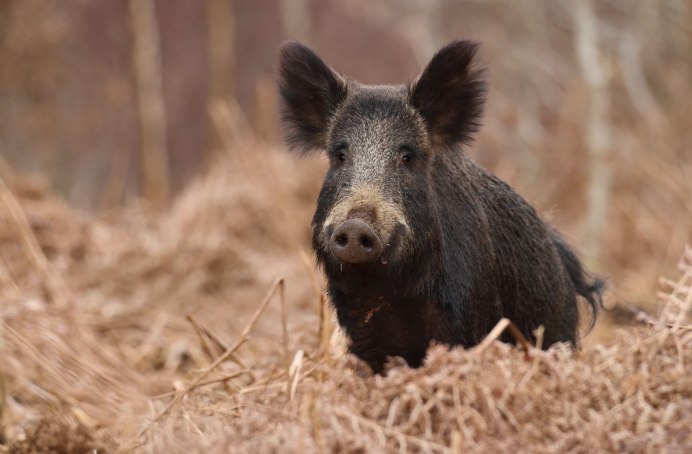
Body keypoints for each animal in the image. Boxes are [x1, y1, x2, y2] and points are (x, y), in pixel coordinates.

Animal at [278, 40, 604, 373]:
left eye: (407, 157)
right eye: (340, 156)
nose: (356, 225)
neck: (394, 289)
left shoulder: (465, 318)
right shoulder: (361, 330)